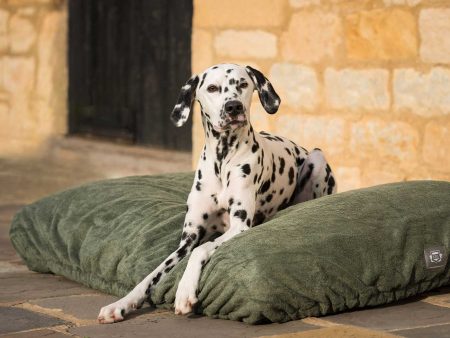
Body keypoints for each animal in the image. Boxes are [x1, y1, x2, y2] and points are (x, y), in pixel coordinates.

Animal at [99, 63, 338, 324]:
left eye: (242, 84)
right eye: (212, 88)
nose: (233, 107)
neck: (223, 159)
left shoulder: (238, 227)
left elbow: (201, 250)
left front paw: (184, 292)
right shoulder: (188, 239)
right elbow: (151, 275)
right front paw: (120, 304)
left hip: (317, 157)